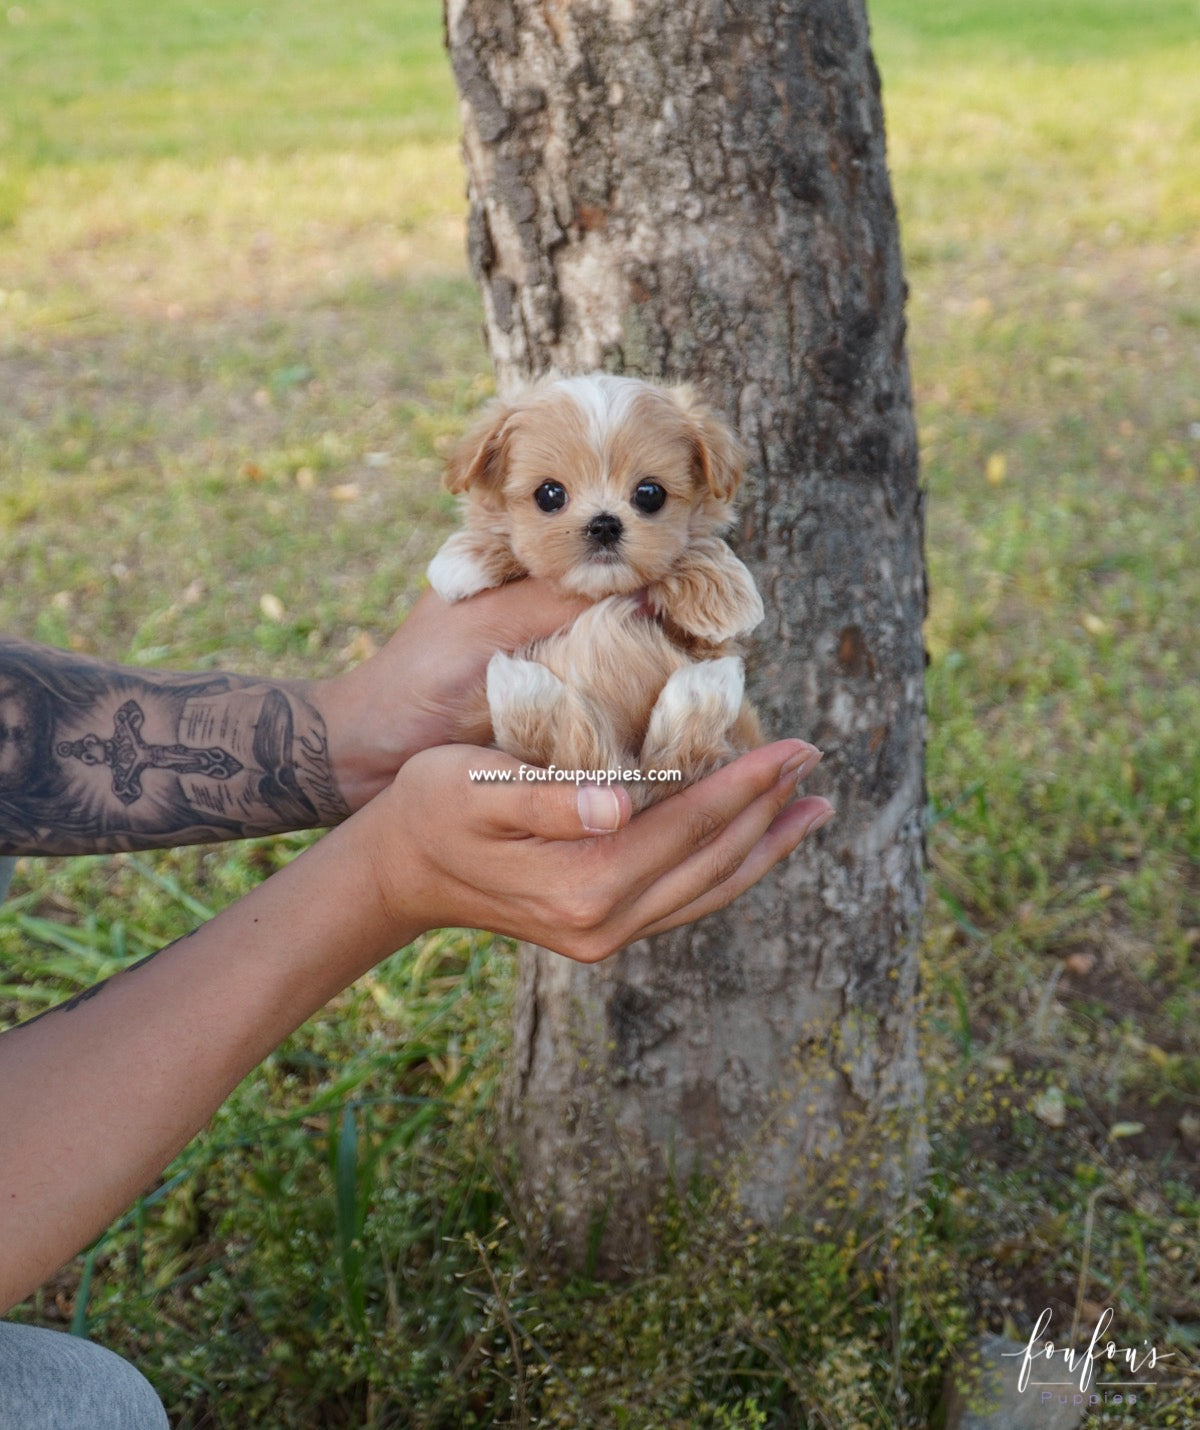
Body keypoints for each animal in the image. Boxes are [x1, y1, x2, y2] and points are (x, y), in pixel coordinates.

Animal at [426, 374, 766, 812]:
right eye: (550, 495)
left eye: (650, 494)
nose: (604, 524)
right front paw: (468, 556)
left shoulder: (706, 645)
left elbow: (696, 551)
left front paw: (722, 590)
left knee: (673, 767)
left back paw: (704, 689)